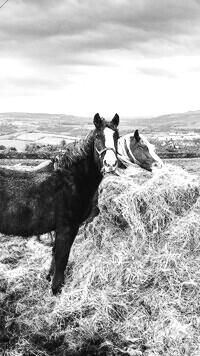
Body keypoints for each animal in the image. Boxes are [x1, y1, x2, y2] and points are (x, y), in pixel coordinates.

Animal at [0, 114, 119, 294]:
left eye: (117, 136)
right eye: (98, 136)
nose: (110, 164)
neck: (70, 181)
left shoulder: (59, 228)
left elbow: (55, 254)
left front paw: (50, 278)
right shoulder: (67, 227)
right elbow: (62, 257)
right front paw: (57, 288)